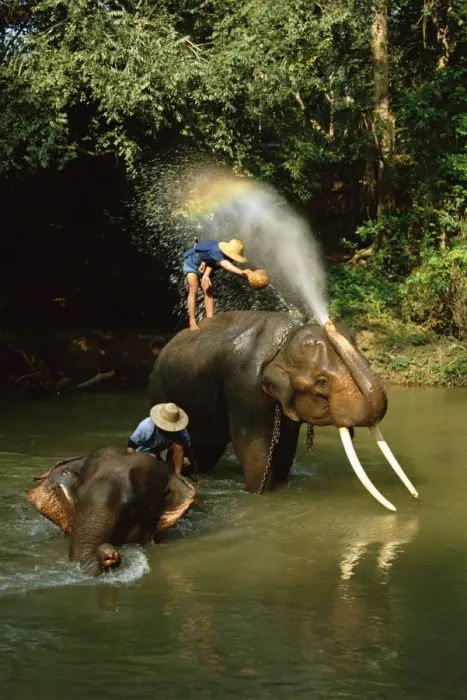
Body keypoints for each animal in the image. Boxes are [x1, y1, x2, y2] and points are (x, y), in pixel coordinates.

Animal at [149, 310, 418, 511]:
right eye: (322, 382)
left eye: (370, 362)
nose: (330, 321)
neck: (282, 345)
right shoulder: (245, 389)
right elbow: (255, 452)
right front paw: (260, 494)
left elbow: (286, 449)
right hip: (160, 390)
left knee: (208, 449)